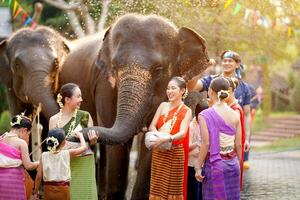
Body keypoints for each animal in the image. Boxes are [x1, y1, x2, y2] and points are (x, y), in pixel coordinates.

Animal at [60, 13, 210, 199]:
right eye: (115, 67)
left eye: (158, 69)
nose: (71, 137)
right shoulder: (104, 85)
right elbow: (115, 140)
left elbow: (154, 138)